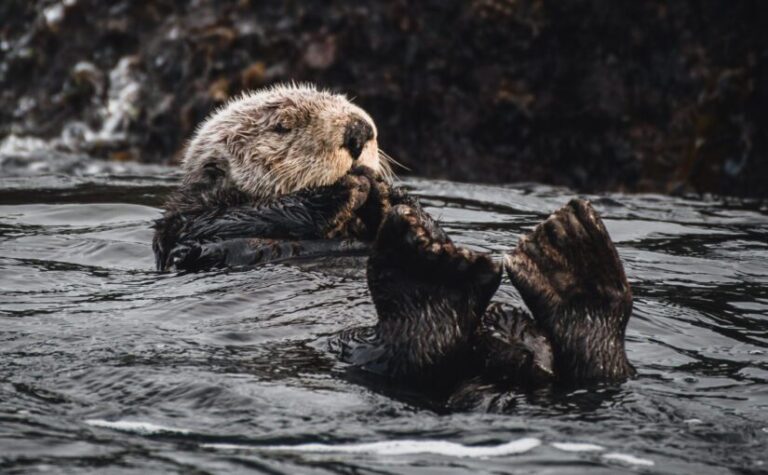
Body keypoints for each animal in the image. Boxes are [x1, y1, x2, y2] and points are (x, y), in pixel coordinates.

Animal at [152, 82, 636, 410]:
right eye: (282, 126)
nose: (359, 130)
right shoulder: (189, 229)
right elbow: (239, 219)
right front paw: (345, 192)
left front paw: (391, 197)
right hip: (358, 348)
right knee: (410, 348)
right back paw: (432, 274)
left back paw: (574, 261)